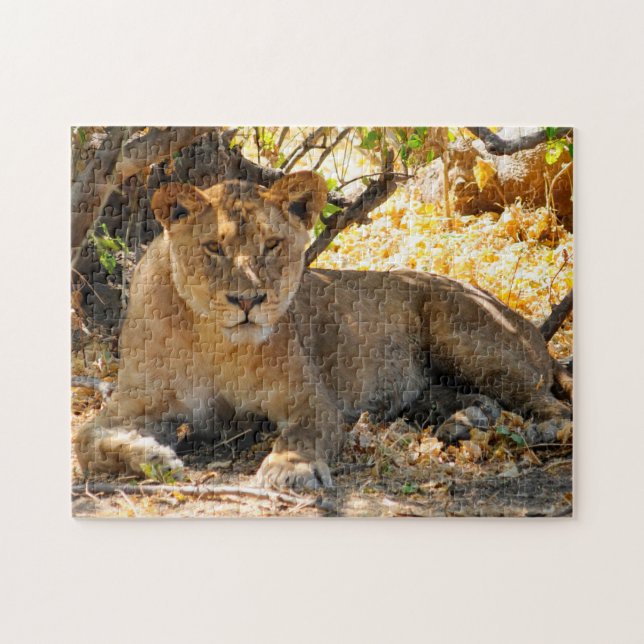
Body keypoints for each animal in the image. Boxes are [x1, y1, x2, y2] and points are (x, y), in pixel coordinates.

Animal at [74, 171, 572, 489]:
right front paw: (151, 457)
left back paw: (525, 433)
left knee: (554, 410)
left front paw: (289, 468)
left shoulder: (312, 402)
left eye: (272, 245)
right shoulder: (136, 402)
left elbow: (301, 436)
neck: (214, 340)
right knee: (482, 402)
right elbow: (85, 440)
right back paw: (462, 425)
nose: (247, 301)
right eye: (213, 247)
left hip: (461, 330)